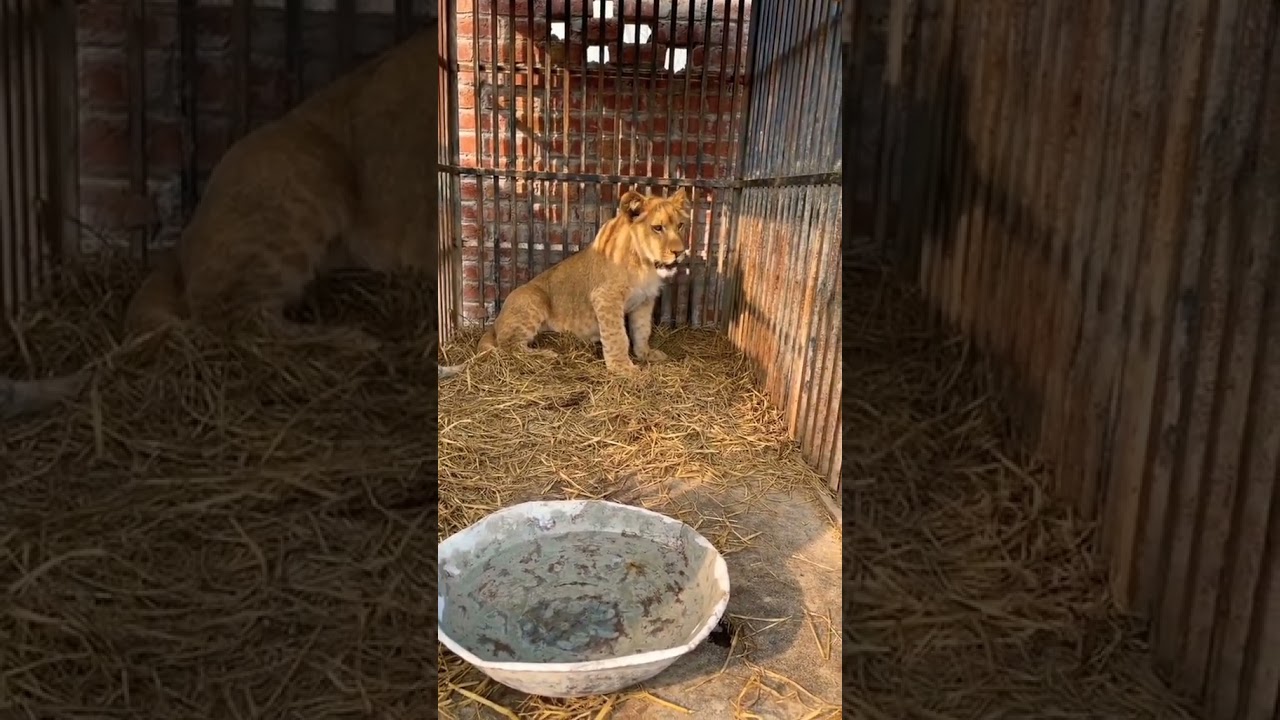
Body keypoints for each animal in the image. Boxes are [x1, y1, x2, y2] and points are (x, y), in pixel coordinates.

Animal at [438, 188, 691, 380]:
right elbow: (618, 335)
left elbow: (641, 331)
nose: (680, 253)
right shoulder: (606, 297)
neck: (645, 264)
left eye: (680, 226)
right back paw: (547, 355)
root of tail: (495, 323)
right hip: (533, 298)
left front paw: (645, 354)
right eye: (657, 228)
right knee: (508, 347)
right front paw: (623, 368)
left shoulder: (645, 300)